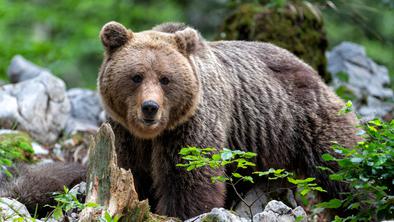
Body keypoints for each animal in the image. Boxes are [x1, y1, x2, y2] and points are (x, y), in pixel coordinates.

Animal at [97, 21, 360, 219]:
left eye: (165, 79)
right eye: (136, 76)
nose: (150, 108)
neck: (152, 135)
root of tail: (311, 70)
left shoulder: (189, 127)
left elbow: (190, 177)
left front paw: (182, 212)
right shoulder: (125, 134)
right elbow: (133, 174)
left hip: (305, 119)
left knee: (343, 169)